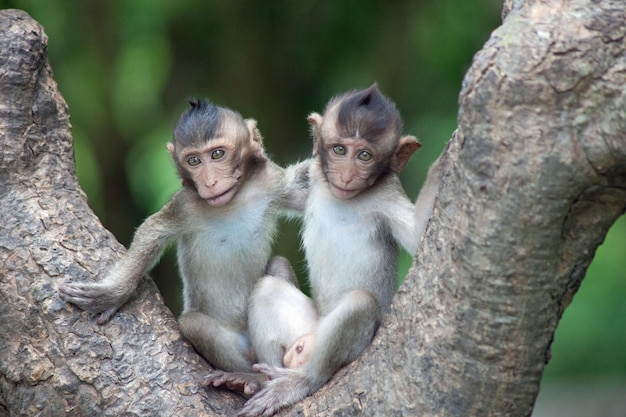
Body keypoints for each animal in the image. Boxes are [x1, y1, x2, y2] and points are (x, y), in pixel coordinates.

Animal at [60, 99, 310, 372]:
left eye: (217, 154)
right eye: (193, 161)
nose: (209, 182)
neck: (231, 201)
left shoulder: (269, 182)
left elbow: (304, 193)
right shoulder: (185, 204)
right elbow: (153, 230)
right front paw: (113, 294)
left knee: (278, 263)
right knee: (195, 325)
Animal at [206, 83, 438, 414]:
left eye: (364, 155)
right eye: (339, 150)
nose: (346, 176)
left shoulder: (386, 191)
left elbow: (419, 234)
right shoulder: (316, 176)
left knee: (359, 304)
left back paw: (301, 382)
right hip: (304, 328)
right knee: (267, 290)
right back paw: (256, 380)